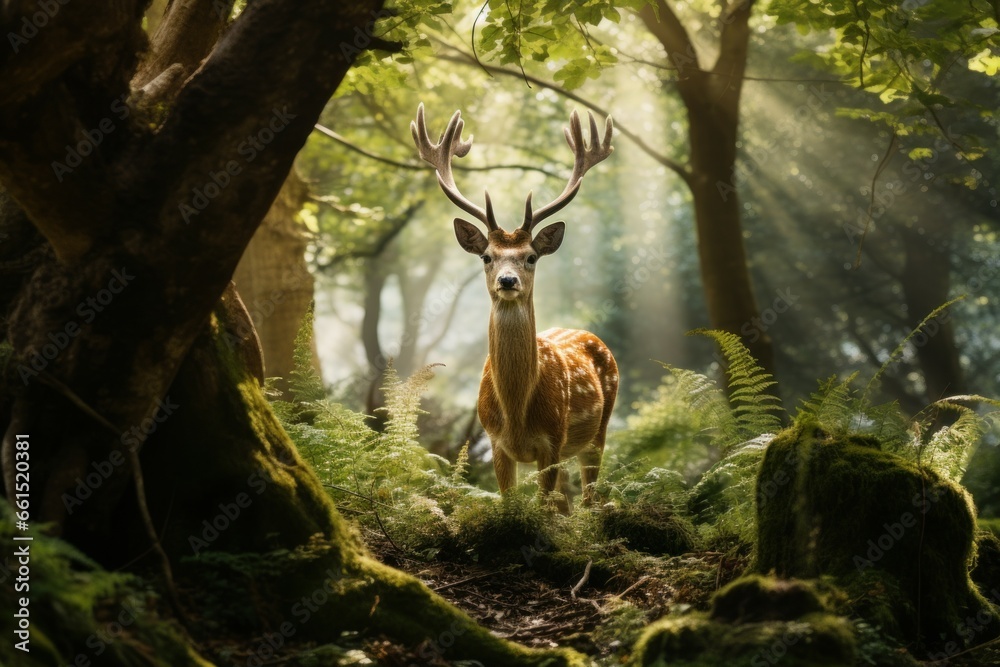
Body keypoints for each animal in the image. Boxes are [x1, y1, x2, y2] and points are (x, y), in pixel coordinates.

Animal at [411, 104, 619, 513]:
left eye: (531, 257)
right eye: (487, 256)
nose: (507, 281)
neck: (518, 414)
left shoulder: (552, 441)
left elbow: (543, 507)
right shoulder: (495, 442)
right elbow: (512, 503)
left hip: (599, 429)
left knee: (589, 496)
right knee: (569, 500)